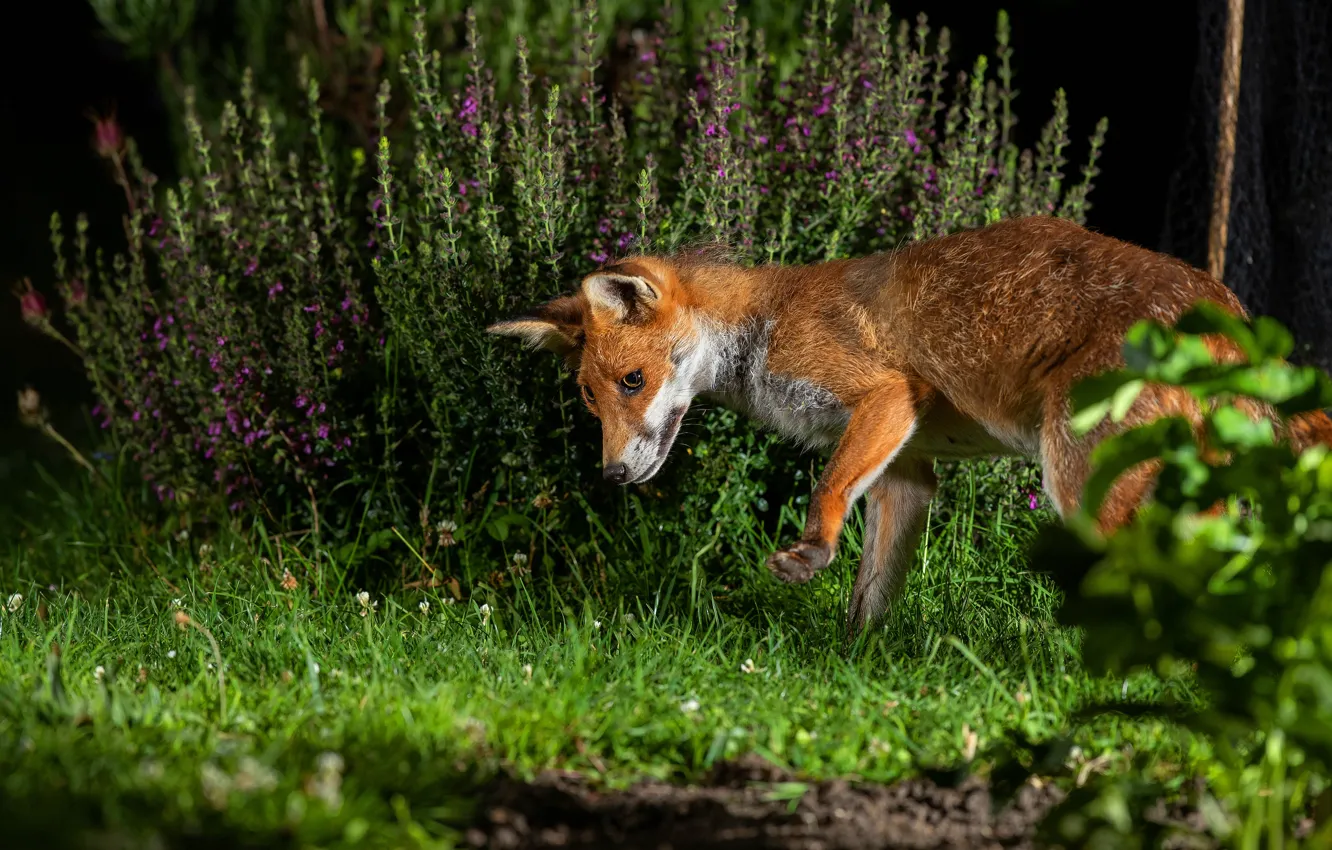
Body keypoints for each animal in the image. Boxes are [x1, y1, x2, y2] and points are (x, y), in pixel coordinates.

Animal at [488, 216, 1332, 631]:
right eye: (591, 401)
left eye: (634, 381)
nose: (611, 474)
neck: (763, 324)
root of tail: (1227, 310)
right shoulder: (906, 470)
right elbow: (870, 595)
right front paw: (852, 665)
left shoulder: (884, 396)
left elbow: (828, 489)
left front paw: (810, 551)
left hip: (1082, 486)